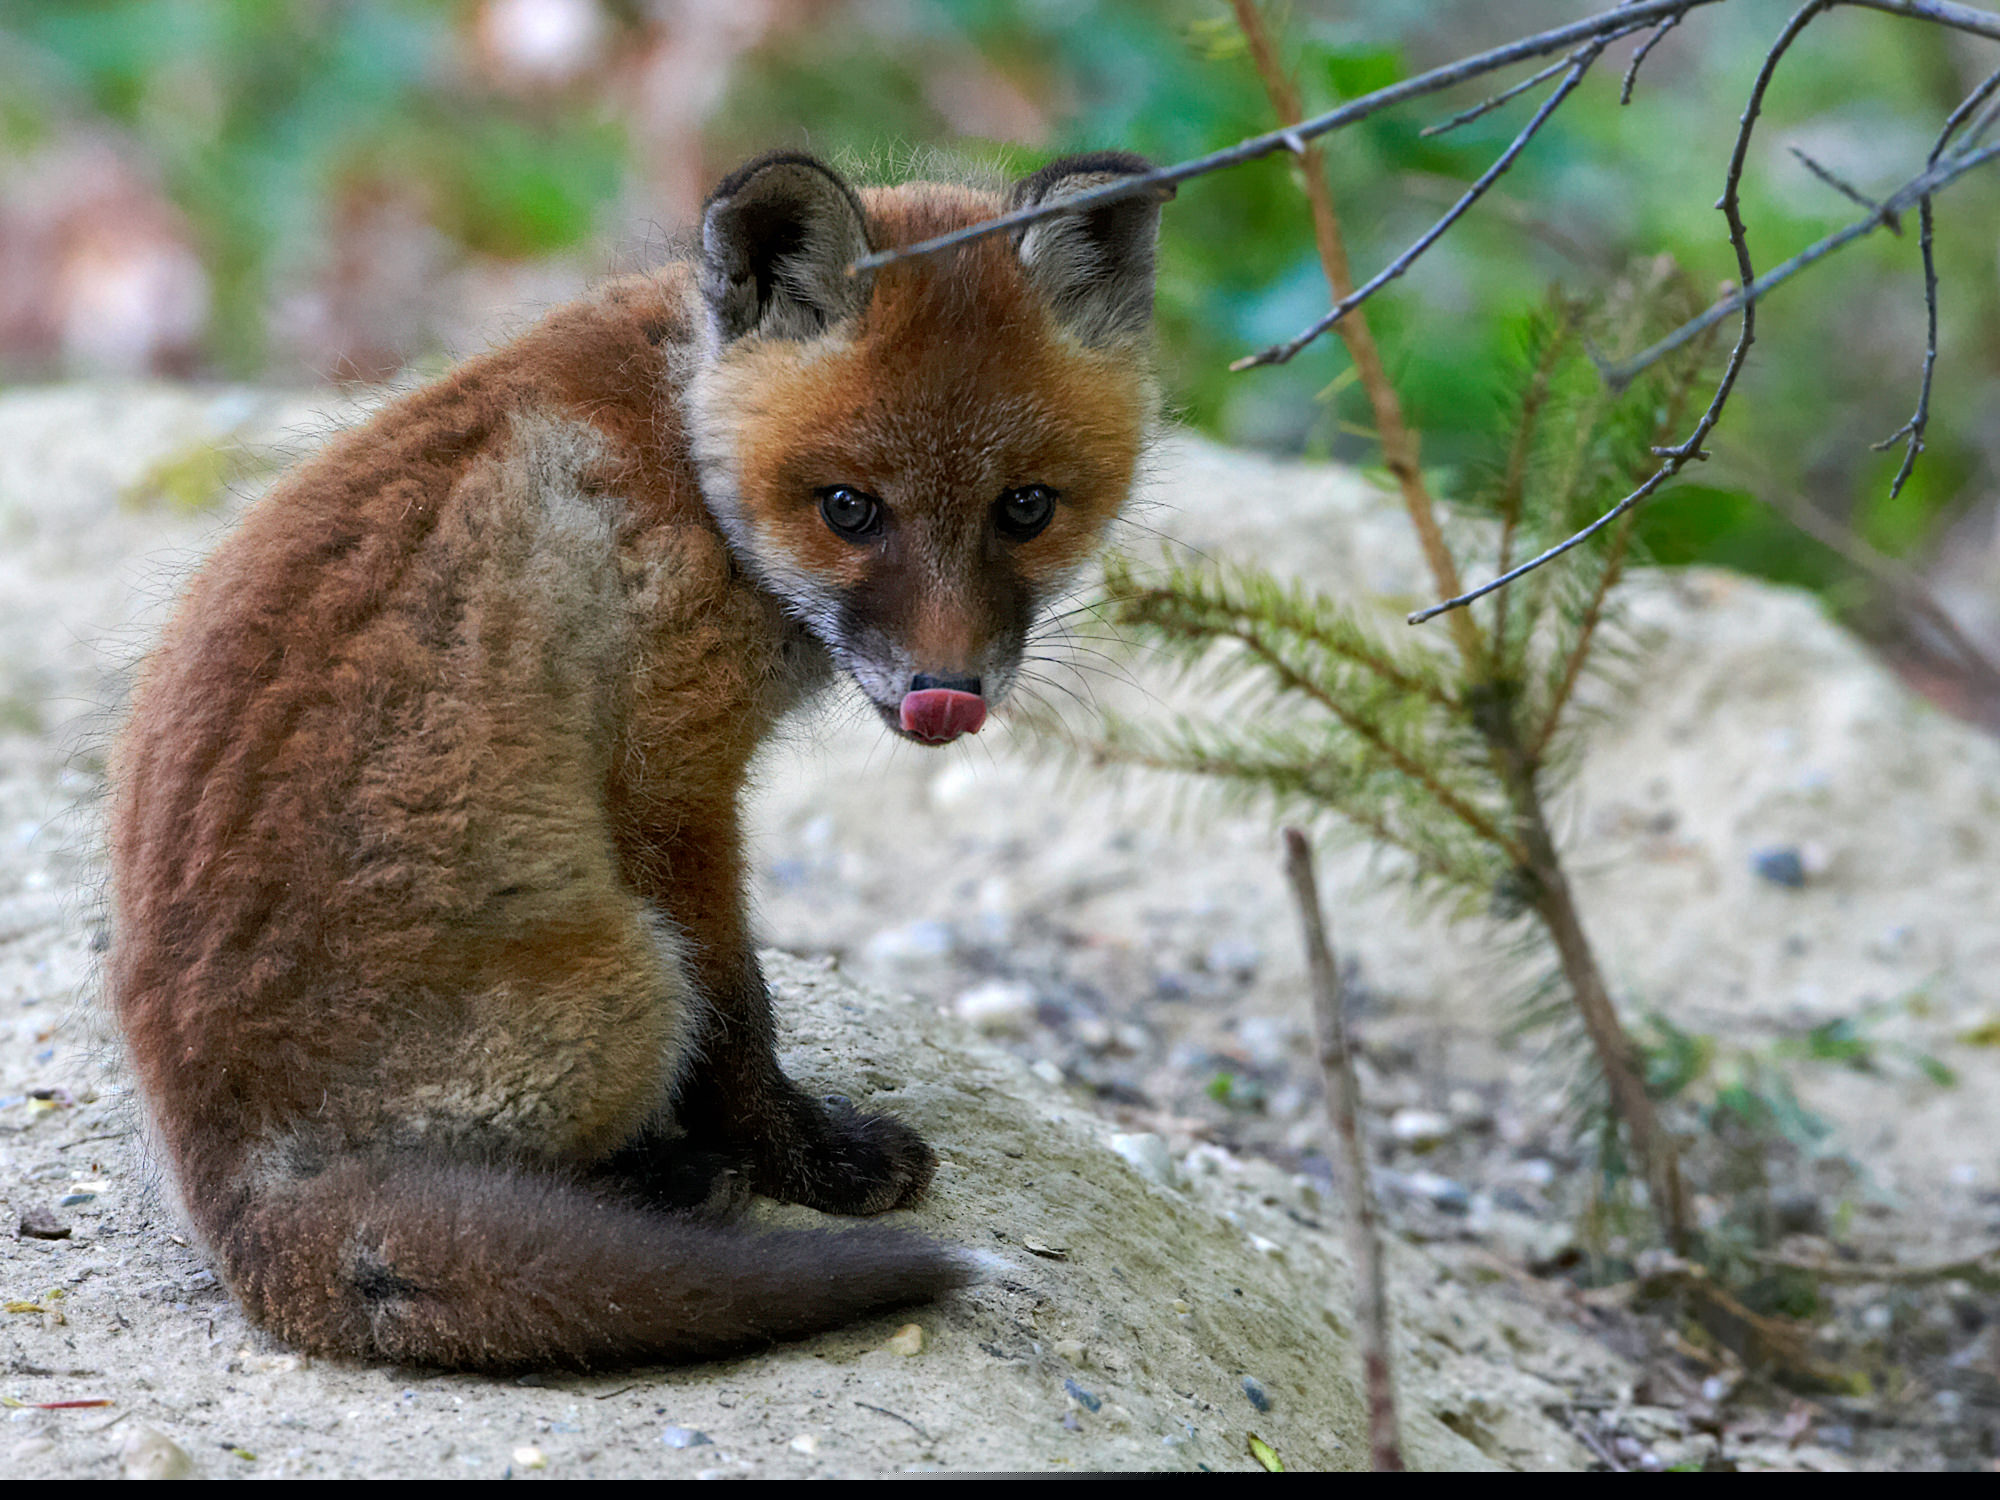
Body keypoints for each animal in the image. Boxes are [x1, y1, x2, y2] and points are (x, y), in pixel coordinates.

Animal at [105, 150, 1168, 1370]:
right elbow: (738, 1022)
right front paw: (803, 1161)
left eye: (1025, 507)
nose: (942, 695)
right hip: (626, 974)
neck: (683, 448)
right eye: (849, 509)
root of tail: (232, 1200)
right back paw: (666, 1184)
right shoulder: (670, 785)